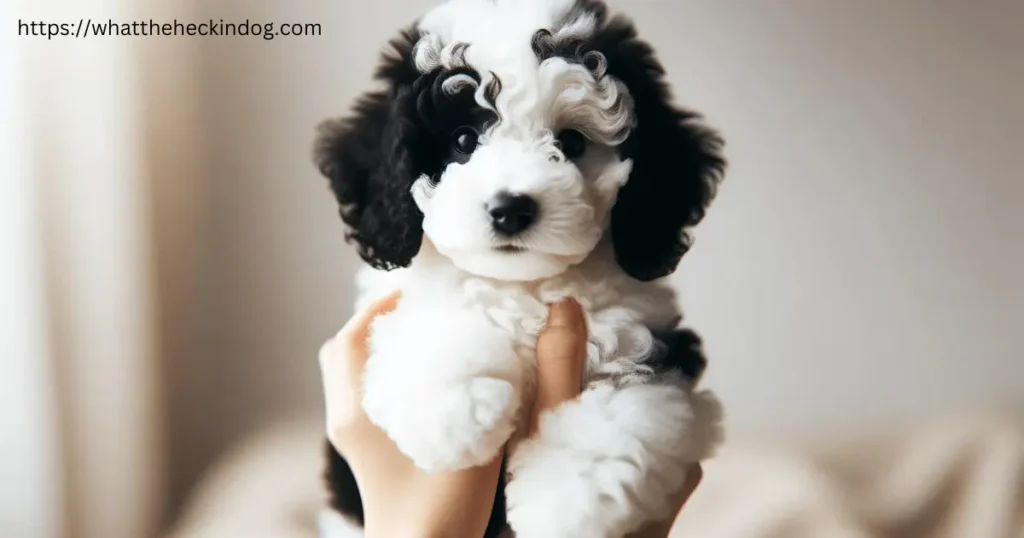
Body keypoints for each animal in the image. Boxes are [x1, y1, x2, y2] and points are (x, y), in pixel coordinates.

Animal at [313, 1, 729, 536]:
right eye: (463, 139)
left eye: (571, 143)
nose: (510, 208)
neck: (527, 286)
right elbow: (434, 314)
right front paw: (456, 409)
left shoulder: (653, 345)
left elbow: (625, 411)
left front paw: (567, 499)